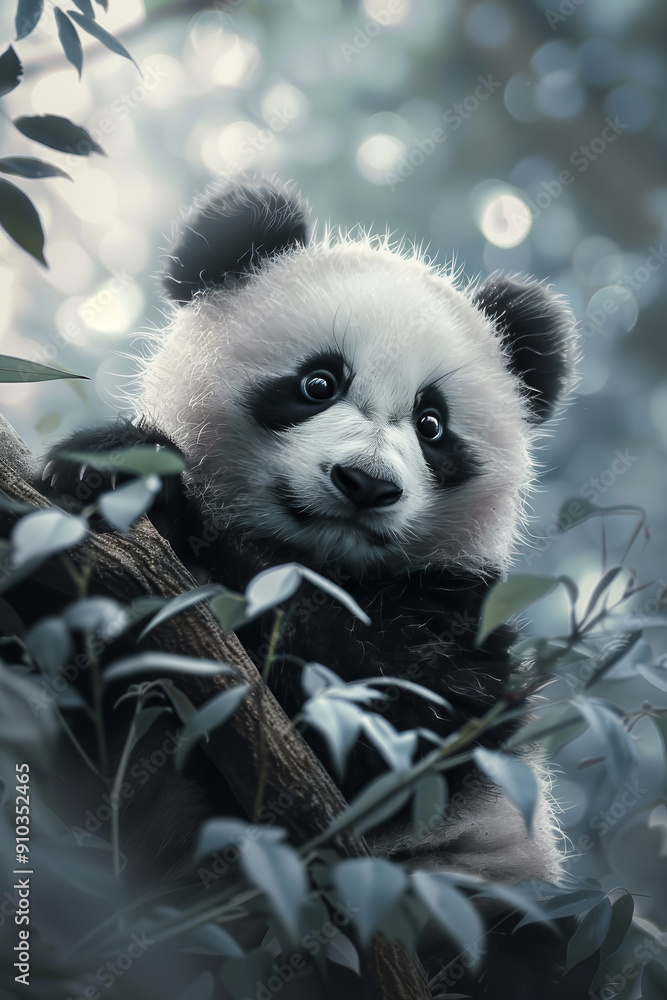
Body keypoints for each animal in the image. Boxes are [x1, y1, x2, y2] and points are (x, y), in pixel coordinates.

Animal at [38, 176, 577, 998]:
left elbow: (378, 730)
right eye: (318, 383)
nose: (366, 483)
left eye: (431, 425)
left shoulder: (456, 613)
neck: (315, 561)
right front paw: (108, 473)